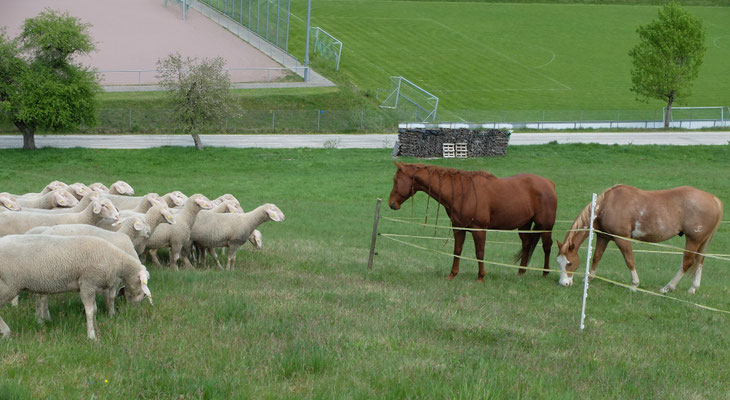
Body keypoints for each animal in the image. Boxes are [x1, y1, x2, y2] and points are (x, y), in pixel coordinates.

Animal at [0, 234, 152, 340]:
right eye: (143, 289)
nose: (134, 308)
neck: (117, 262)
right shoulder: (87, 284)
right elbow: (89, 311)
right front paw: (91, 336)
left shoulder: (92, 286)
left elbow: (95, 310)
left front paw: (95, 326)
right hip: (8, 285)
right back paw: (6, 332)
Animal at [388, 162, 558, 281]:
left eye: (395, 181)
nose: (391, 204)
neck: (463, 192)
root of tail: (549, 183)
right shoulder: (458, 228)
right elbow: (457, 251)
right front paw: (452, 275)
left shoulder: (479, 230)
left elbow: (479, 252)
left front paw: (481, 276)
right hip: (523, 225)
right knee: (527, 244)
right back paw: (521, 273)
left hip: (545, 226)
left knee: (547, 246)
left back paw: (545, 273)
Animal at [556, 184, 723, 293]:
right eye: (558, 262)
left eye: (570, 263)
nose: (564, 283)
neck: (608, 204)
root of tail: (713, 199)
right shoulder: (603, 237)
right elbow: (597, 257)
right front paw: (588, 279)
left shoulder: (622, 239)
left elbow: (629, 260)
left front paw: (634, 284)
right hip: (701, 241)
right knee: (700, 261)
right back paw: (693, 288)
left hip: (693, 240)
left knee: (687, 262)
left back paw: (667, 288)